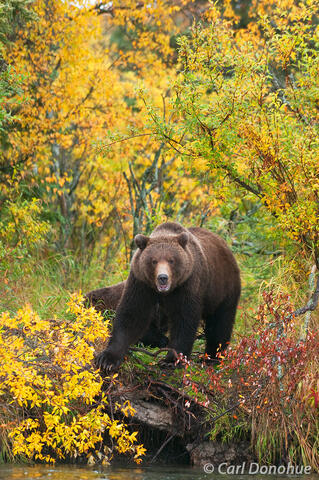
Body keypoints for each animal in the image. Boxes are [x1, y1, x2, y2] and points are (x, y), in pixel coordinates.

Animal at [96, 222, 241, 372]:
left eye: (171, 260)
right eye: (154, 261)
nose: (163, 278)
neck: (165, 293)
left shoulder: (187, 284)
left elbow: (183, 321)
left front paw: (171, 360)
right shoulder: (141, 282)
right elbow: (132, 315)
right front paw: (108, 359)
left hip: (222, 288)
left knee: (220, 322)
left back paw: (212, 357)